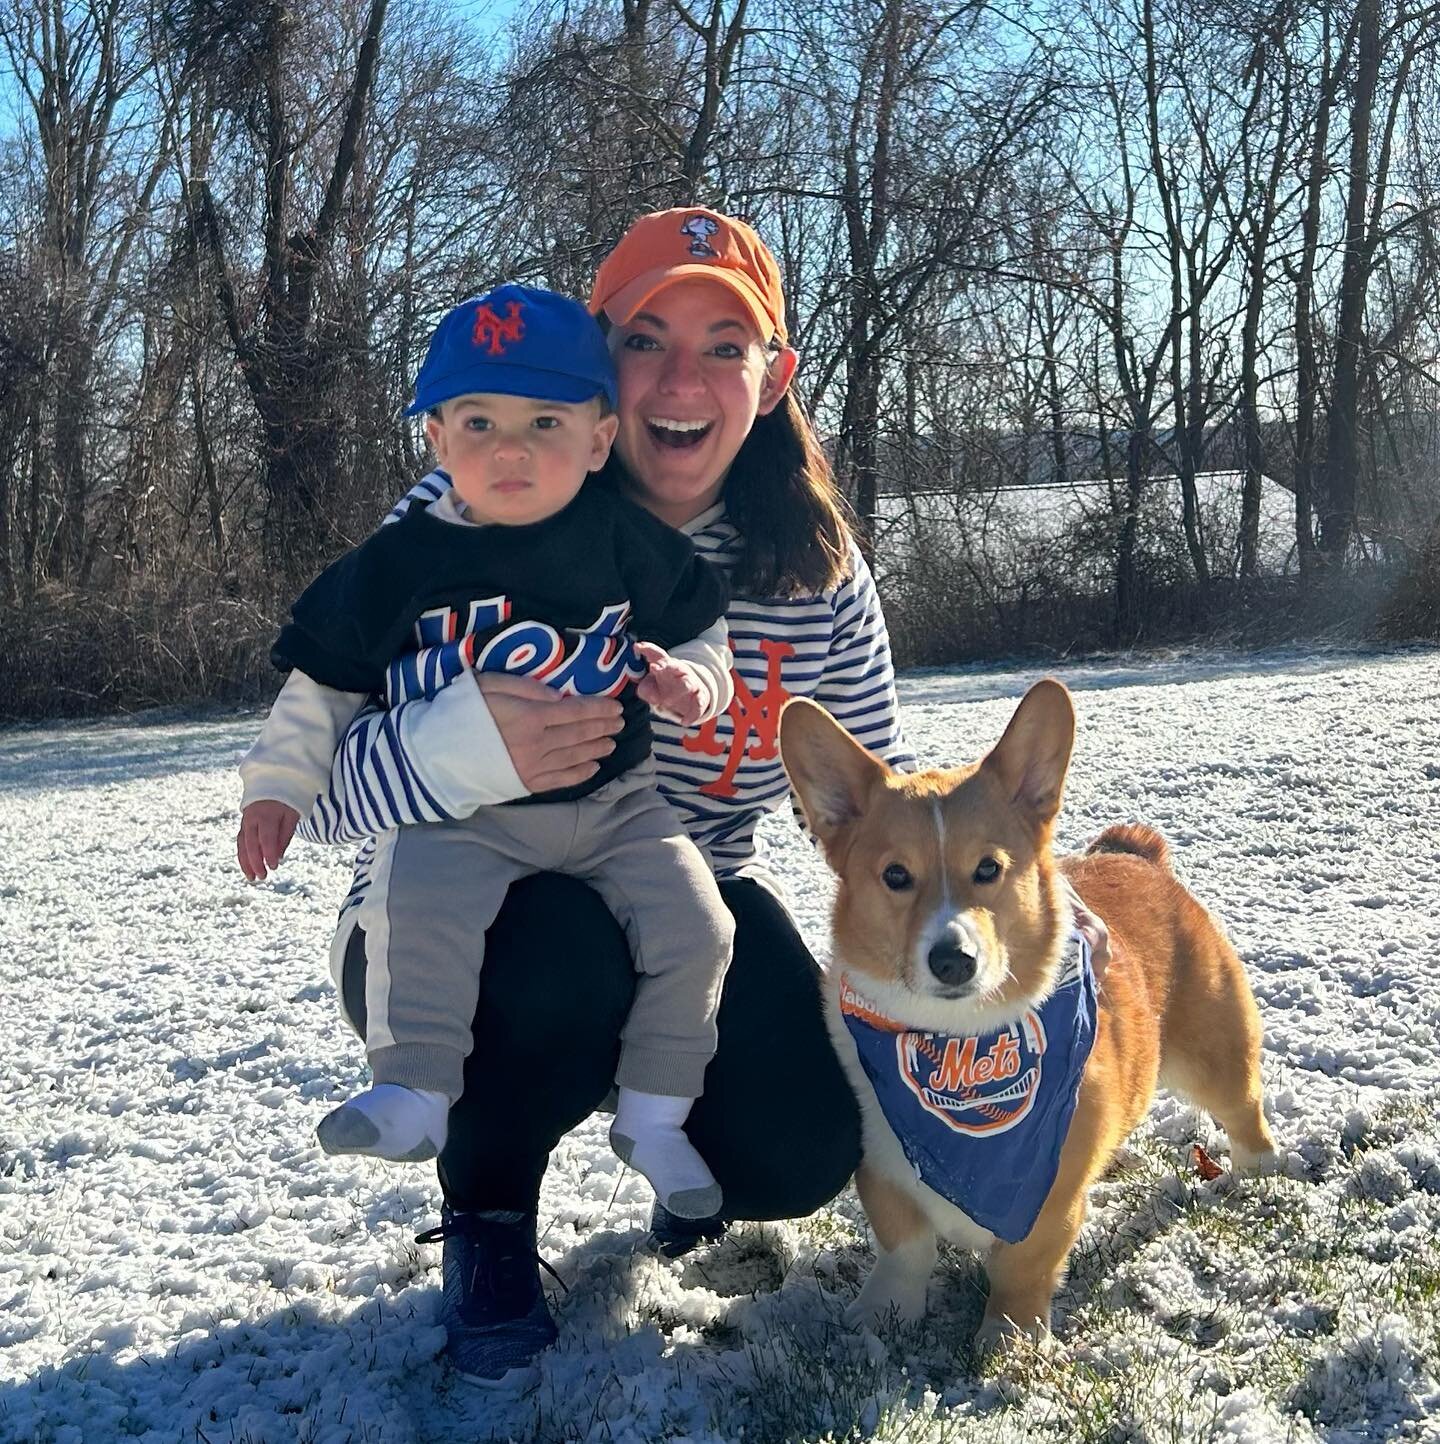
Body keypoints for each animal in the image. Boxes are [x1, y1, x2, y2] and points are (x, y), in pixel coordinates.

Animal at [779, 678, 1276, 1351]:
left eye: (988, 868)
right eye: (895, 875)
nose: (953, 961)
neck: (960, 1043)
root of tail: (1137, 855)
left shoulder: (1046, 1199)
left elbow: (1021, 1267)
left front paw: (1008, 1340)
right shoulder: (881, 1165)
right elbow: (906, 1250)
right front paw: (881, 1314)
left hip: (1212, 1054)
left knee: (1244, 1109)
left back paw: (1260, 1173)